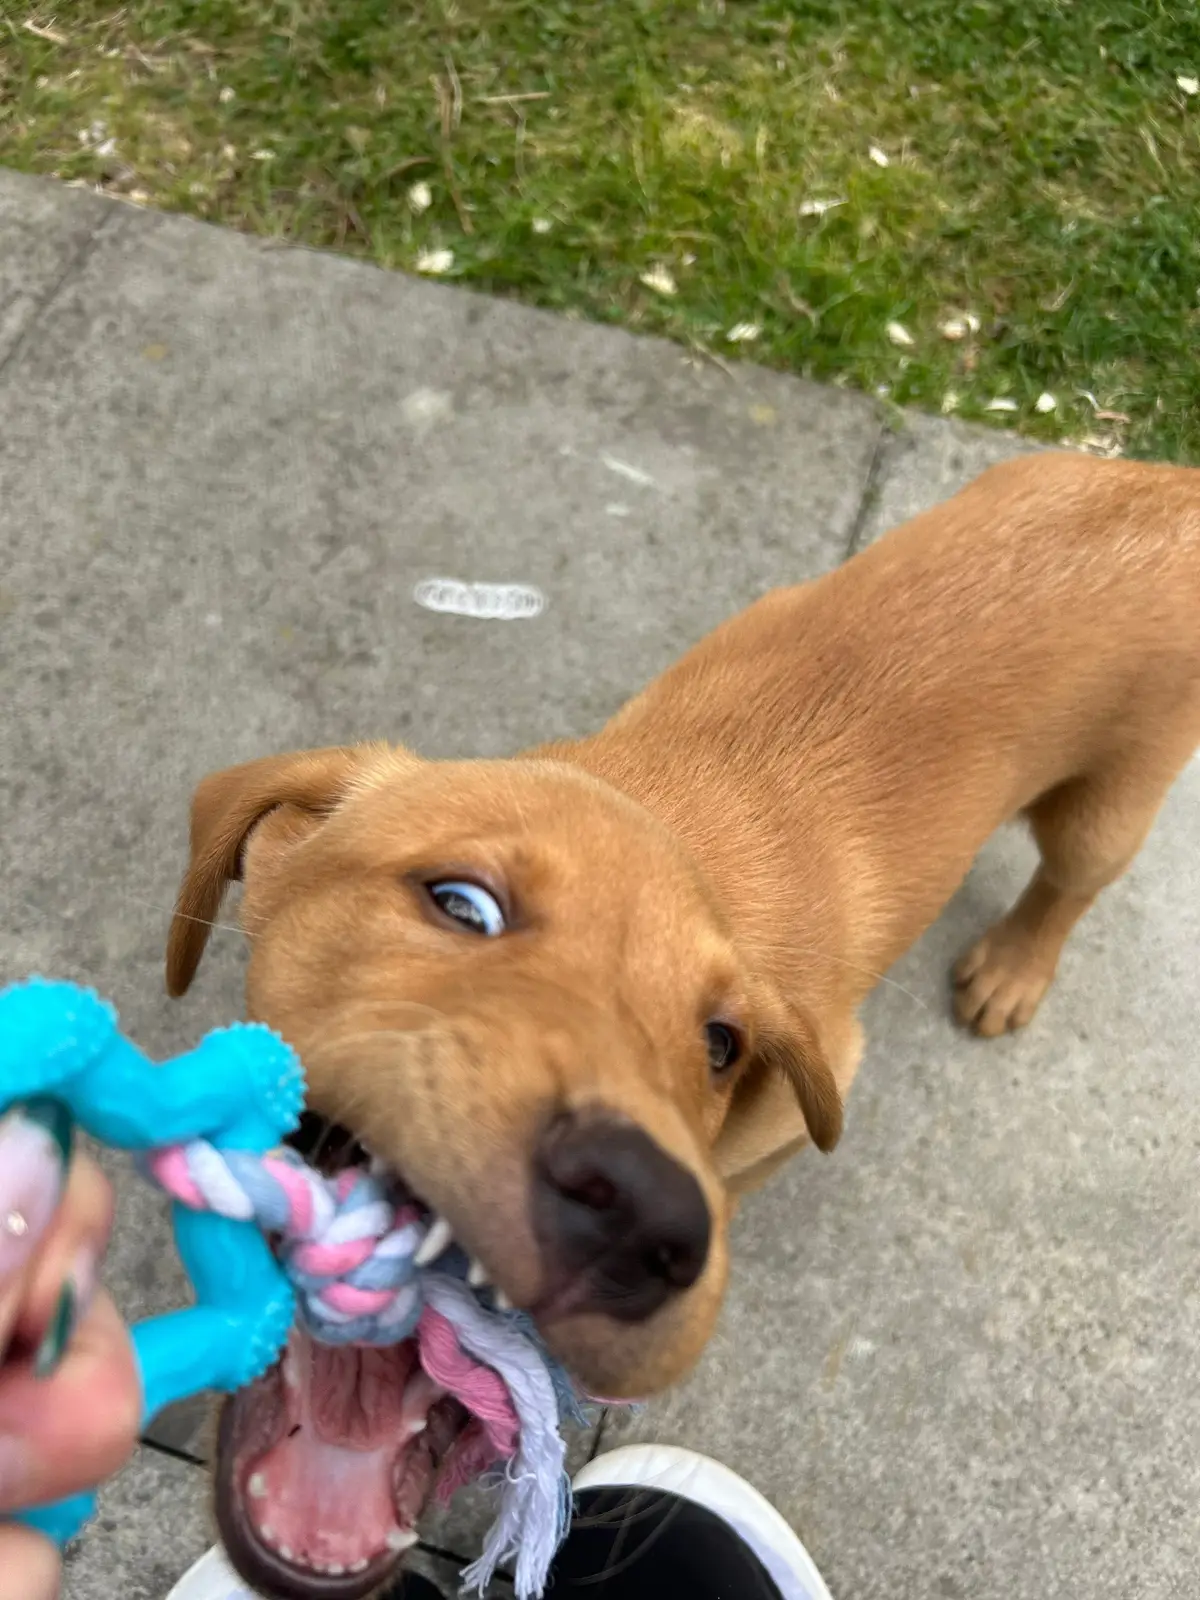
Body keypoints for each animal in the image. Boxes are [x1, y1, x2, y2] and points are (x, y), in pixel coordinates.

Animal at [164, 454, 1200, 1600]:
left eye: (719, 1044)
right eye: (461, 904)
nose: (644, 1216)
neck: (665, 808)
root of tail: (1164, 481)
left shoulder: (821, 1079)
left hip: (1110, 804)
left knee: (1071, 881)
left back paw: (1013, 968)